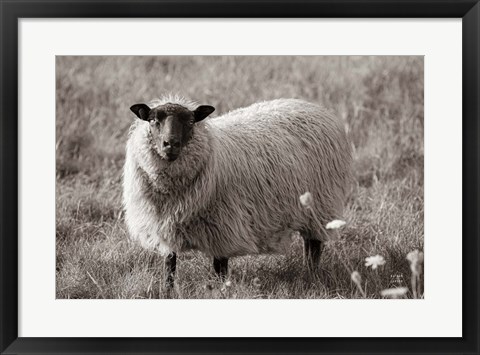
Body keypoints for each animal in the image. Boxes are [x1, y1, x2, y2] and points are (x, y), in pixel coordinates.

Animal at [122, 96, 350, 288]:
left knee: (313, 246)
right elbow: (169, 266)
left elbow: (220, 268)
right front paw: (168, 291)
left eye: (191, 121)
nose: (170, 144)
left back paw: (311, 274)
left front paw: (222, 290)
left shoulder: (223, 227)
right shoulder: (164, 229)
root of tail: (311, 106)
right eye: (153, 120)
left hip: (320, 205)